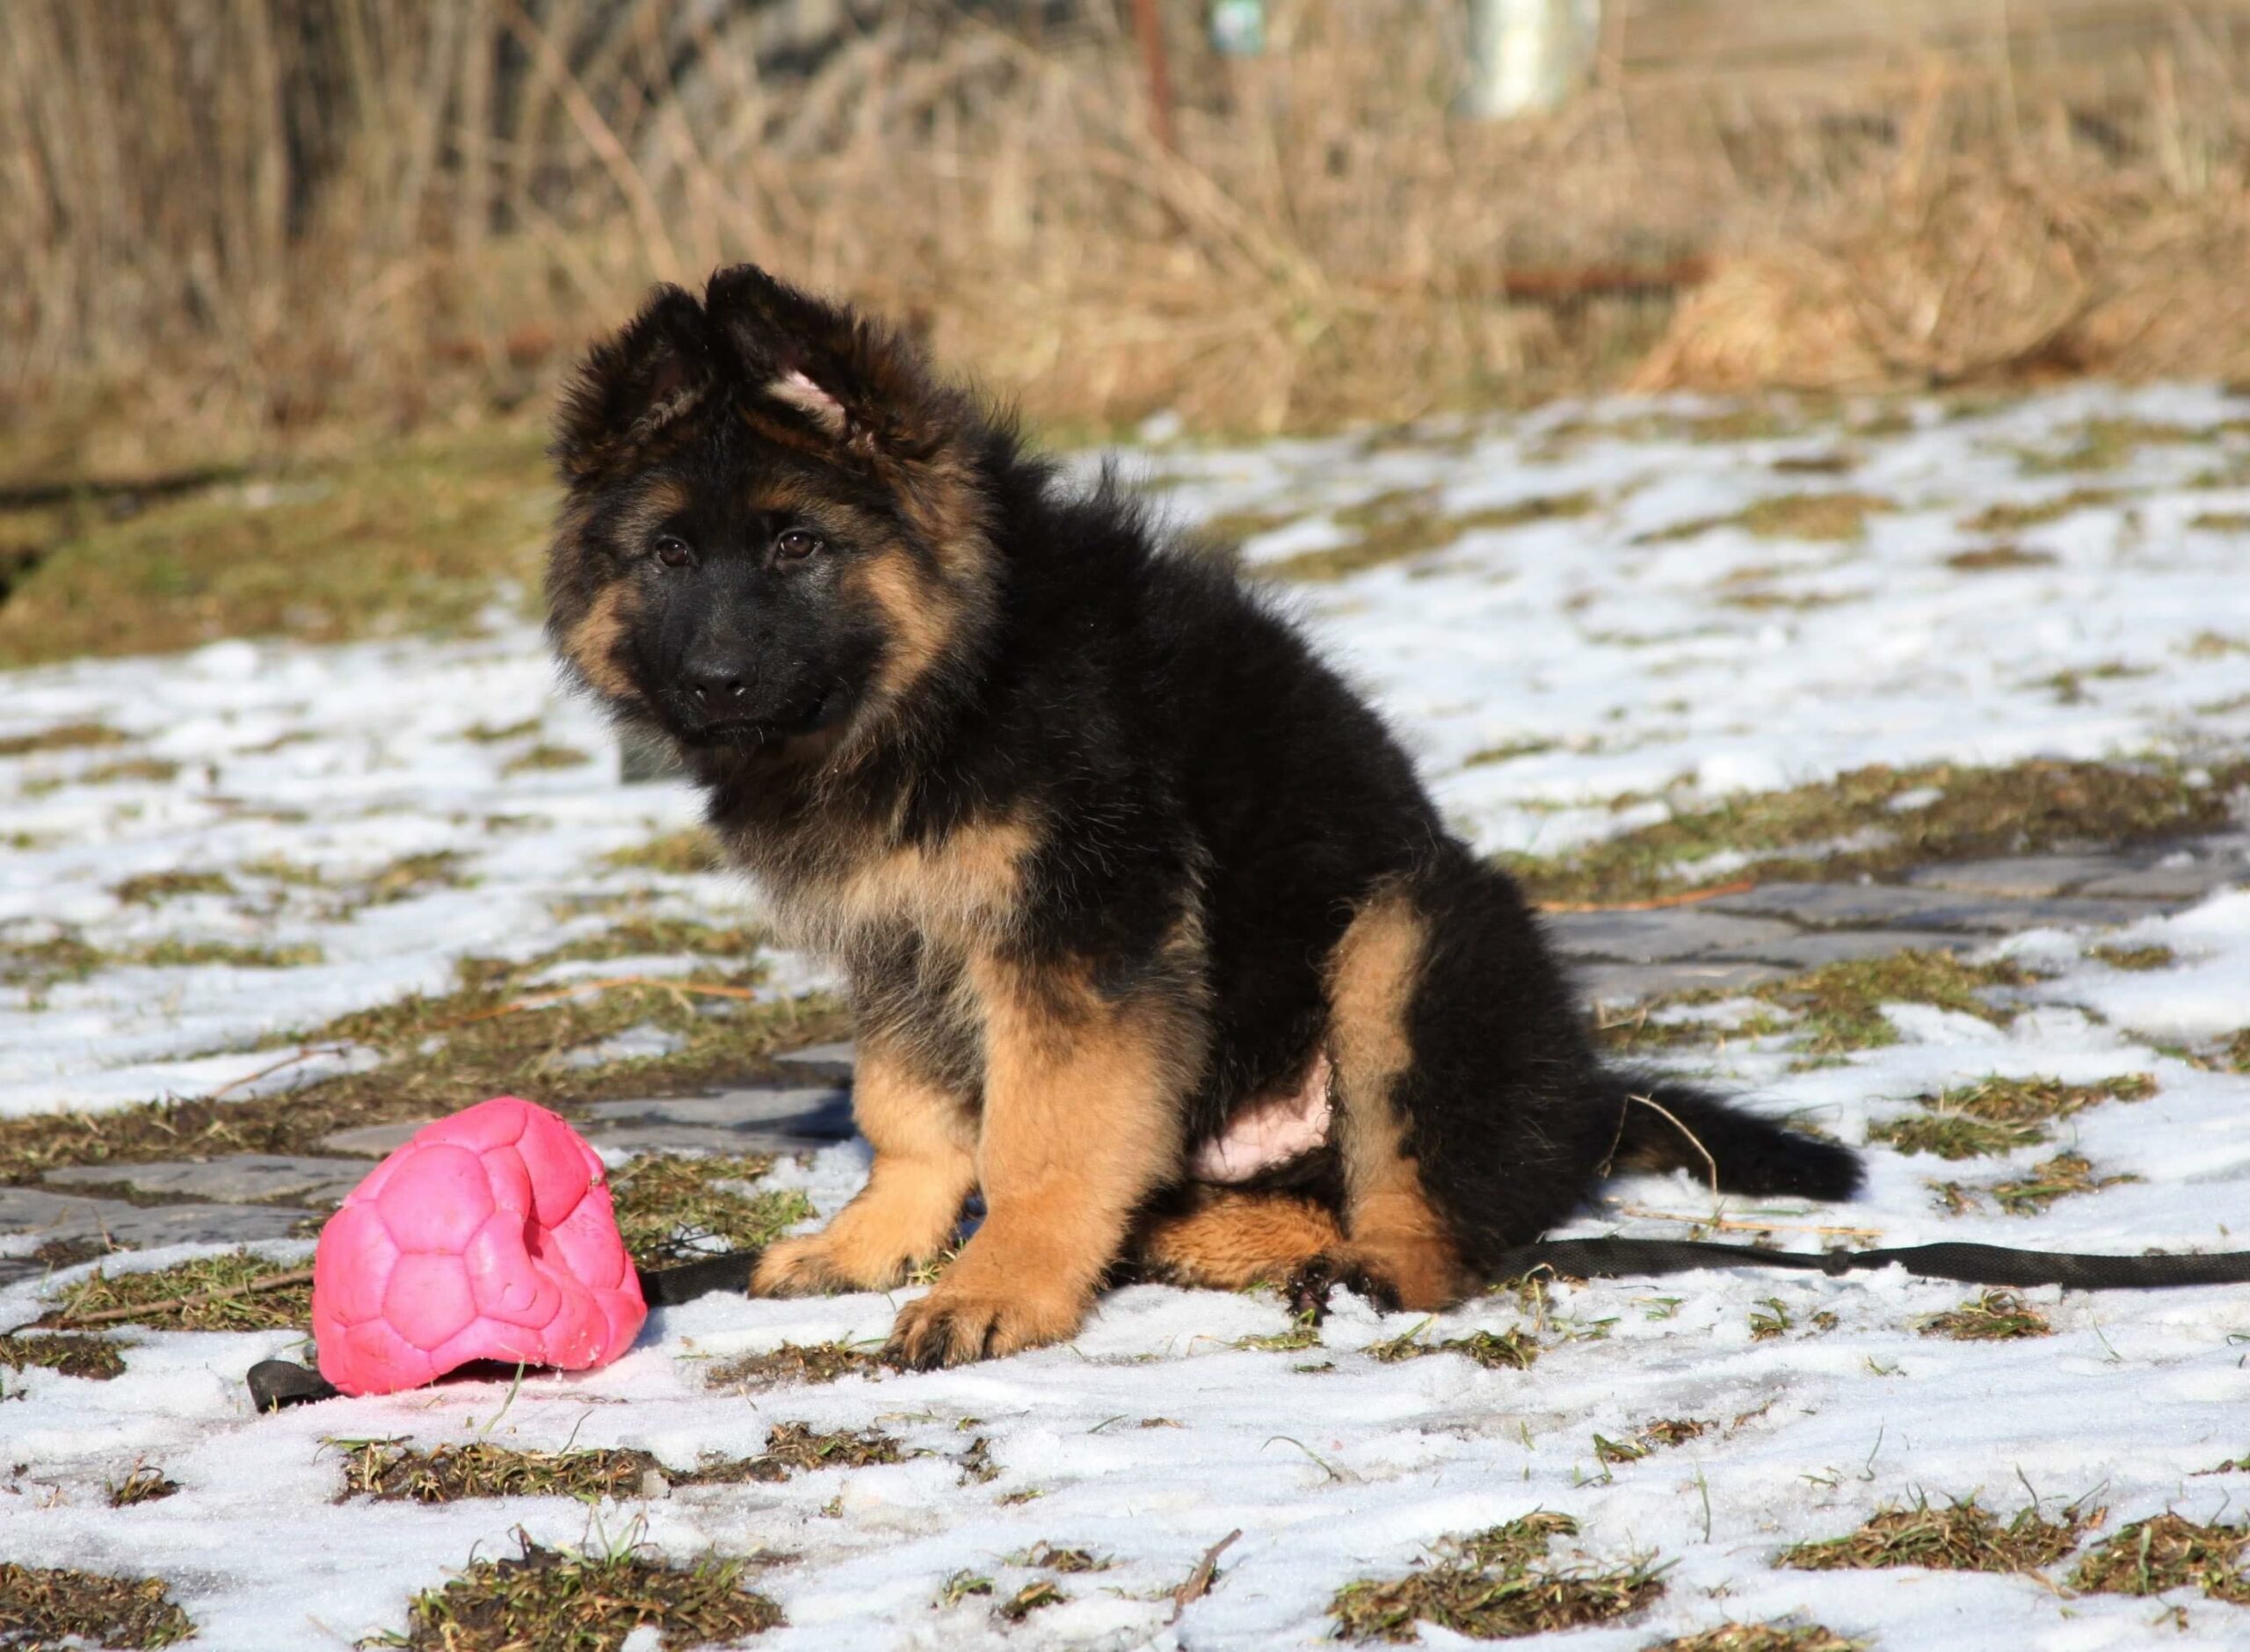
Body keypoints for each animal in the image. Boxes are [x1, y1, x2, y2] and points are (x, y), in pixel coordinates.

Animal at [544, 262, 1862, 1368]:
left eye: (797, 545)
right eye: (669, 556)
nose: (715, 683)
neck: (960, 677)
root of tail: (1586, 1102)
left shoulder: (1081, 936)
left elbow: (1038, 1137)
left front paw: (997, 1286)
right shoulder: (904, 943)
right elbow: (907, 1110)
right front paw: (872, 1244)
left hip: (1407, 931)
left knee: (1434, 1218)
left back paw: (1357, 1264)